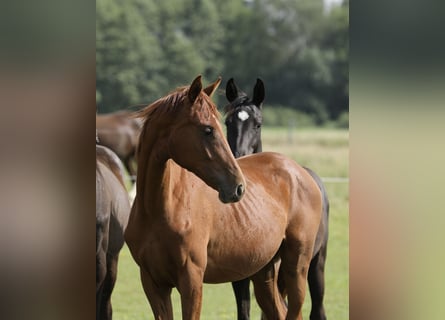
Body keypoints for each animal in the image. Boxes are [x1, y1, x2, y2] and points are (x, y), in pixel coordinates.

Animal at [123, 76, 320, 318]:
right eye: (208, 129)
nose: (238, 187)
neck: (159, 210)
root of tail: (300, 172)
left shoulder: (191, 282)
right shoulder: (154, 285)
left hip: (297, 267)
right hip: (264, 274)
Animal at [225, 78, 330, 320]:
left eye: (258, 124)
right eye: (227, 122)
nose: (237, 160)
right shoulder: (242, 274)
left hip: (315, 265)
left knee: (316, 309)